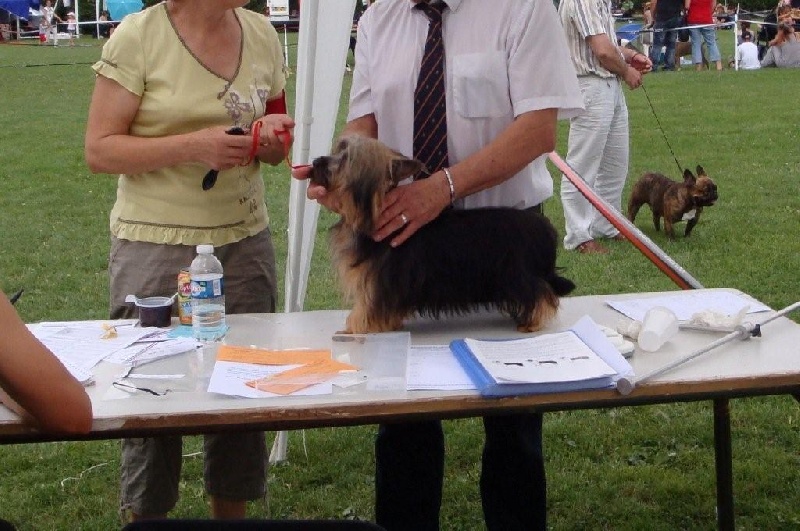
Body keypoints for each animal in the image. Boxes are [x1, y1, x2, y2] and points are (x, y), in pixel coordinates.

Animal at [309, 135, 576, 334]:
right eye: (338, 150)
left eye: (347, 160)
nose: (316, 161)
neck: (372, 213)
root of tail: (545, 228)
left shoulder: (380, 282)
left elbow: (367, 306)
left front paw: (356, 326)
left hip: (518, 274)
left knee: (540, 292)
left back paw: (532, 321)